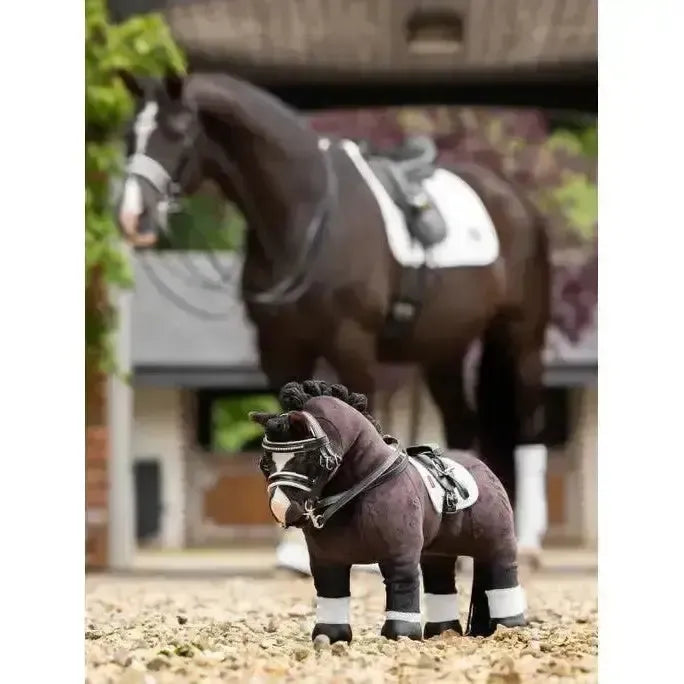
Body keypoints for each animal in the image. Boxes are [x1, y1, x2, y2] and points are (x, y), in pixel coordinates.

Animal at [115, 71, 551, 572]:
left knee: (529, 428)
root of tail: (518, 203)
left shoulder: (352, 345)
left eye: (178, 132)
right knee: (462, 423)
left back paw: (529, 542)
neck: (306, 220)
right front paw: (292, 551)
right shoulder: (279, 347)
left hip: (522, 340)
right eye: (130, 135)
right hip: (444, 350)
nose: (132, 216)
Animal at [249, 380, 527, 642]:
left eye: (307, 459)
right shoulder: (327, 560)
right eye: (265, 463)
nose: (283, 509)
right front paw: (330, 635)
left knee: (503, 571)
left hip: (497, 542)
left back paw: (509, 626)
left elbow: (402, 585)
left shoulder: (399, 554)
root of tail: (483, 468)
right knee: (441, 582)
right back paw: (442, 631)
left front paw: (401, 634)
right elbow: (331, 591)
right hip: (438, 552)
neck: (361, 490)